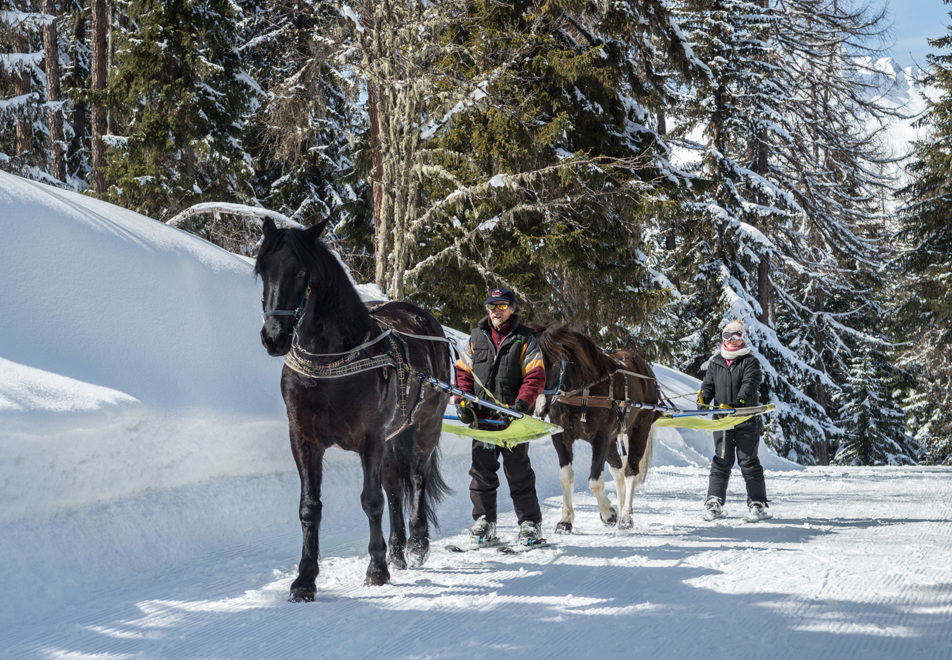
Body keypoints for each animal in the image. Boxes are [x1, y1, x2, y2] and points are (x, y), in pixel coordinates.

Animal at [251, 219, 448, 600]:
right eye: (263, 270)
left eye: (302, 272)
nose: (274, 337)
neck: (329, 363)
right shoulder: (304, 439)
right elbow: (310, 507)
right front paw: (305, 579)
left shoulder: (370, 439)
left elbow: (371, 501)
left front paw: (377, 569)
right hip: (393, 437)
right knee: (394, 486)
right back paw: (398, 550)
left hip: (426, 427)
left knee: (417, 478)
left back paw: (417, 545)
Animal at [528, 322, 660, 532]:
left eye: (554, 364)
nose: (539, 407)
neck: (583, 392)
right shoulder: (561, 436)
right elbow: (566, 476)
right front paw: (565, 520)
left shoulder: (601, 438)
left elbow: (595, 481)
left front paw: (608, 514)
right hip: (614, 438)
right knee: (618, 470)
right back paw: (620, 506)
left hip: (640, 429)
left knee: (631, 471)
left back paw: (625, 516)